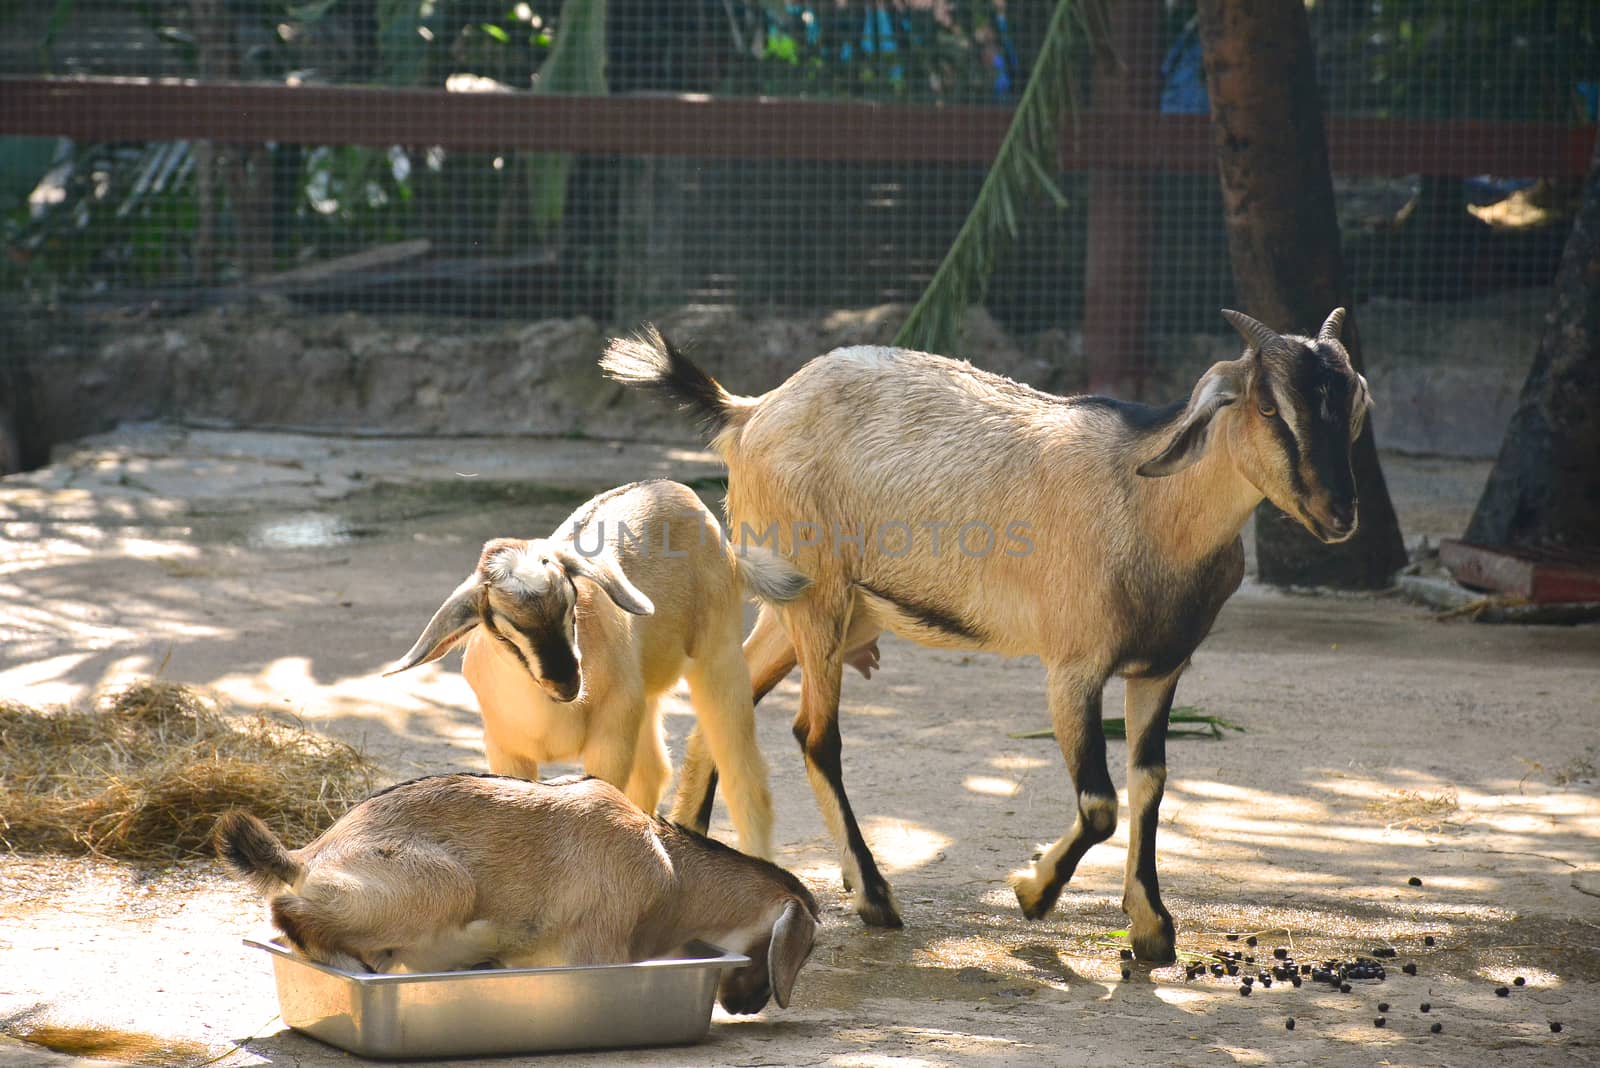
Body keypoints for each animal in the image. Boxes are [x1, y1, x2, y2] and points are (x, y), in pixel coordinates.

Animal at [219, 770, 819, 1016]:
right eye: (805, 948)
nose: (749, 1006)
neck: (672, 871)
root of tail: (309, 855)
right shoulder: (596, 951)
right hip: (448, 886)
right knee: (287, 910)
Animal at [390, 479, 800, 856]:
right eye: (502, 631)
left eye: (571, 607)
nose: (567, 684)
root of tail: (672, 489)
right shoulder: (506, 750)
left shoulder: (610, 741)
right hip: (646, 697)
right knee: (654, 771)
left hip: (719, 660)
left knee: (743, 776)